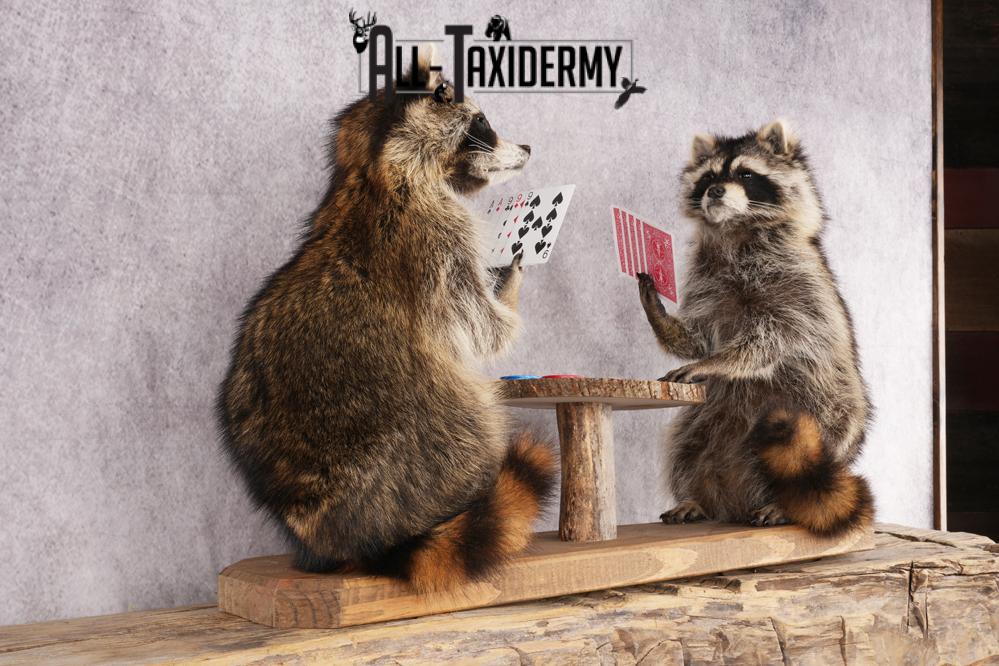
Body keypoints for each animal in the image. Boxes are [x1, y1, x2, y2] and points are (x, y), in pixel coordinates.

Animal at [216, 46, 556, 591]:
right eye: (482, 122)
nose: (526, 147)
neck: (371, 168)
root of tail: (348, 534)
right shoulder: (439, 239)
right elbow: (484, 329)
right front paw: (511, 282)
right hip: (430, 430)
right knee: (474, 415)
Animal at [637, 120, 873, 536]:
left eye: (746, 174)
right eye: (709, 177)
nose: (716, 190)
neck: (736, 228)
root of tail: (736, 499)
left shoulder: (799, 288)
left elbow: (771, 340)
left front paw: (718, 362)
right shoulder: (706, 283)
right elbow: (698, 338)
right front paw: (660, 315)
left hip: (827, 413)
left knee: (822, 445)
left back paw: (782, 502)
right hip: (707, 419)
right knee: (685, 445)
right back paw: (695, 496)